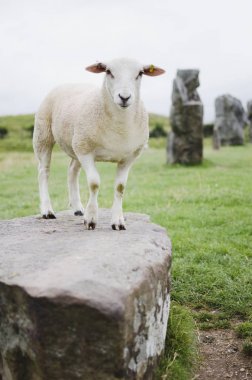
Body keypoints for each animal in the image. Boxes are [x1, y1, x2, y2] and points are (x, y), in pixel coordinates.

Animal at [33, 58, 165, 230]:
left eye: (140, 73)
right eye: (108, 71)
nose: (124, 97)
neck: (119, 128)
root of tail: (67, 83)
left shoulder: (128, 157)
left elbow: (120, 187)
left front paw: (117, 222)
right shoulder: (86, 152)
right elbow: (94, 183)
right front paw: (91, 219)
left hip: (76, 143)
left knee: (72, 171)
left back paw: (77, 208)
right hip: (44, 134)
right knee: (44, 171)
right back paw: (47, 210)